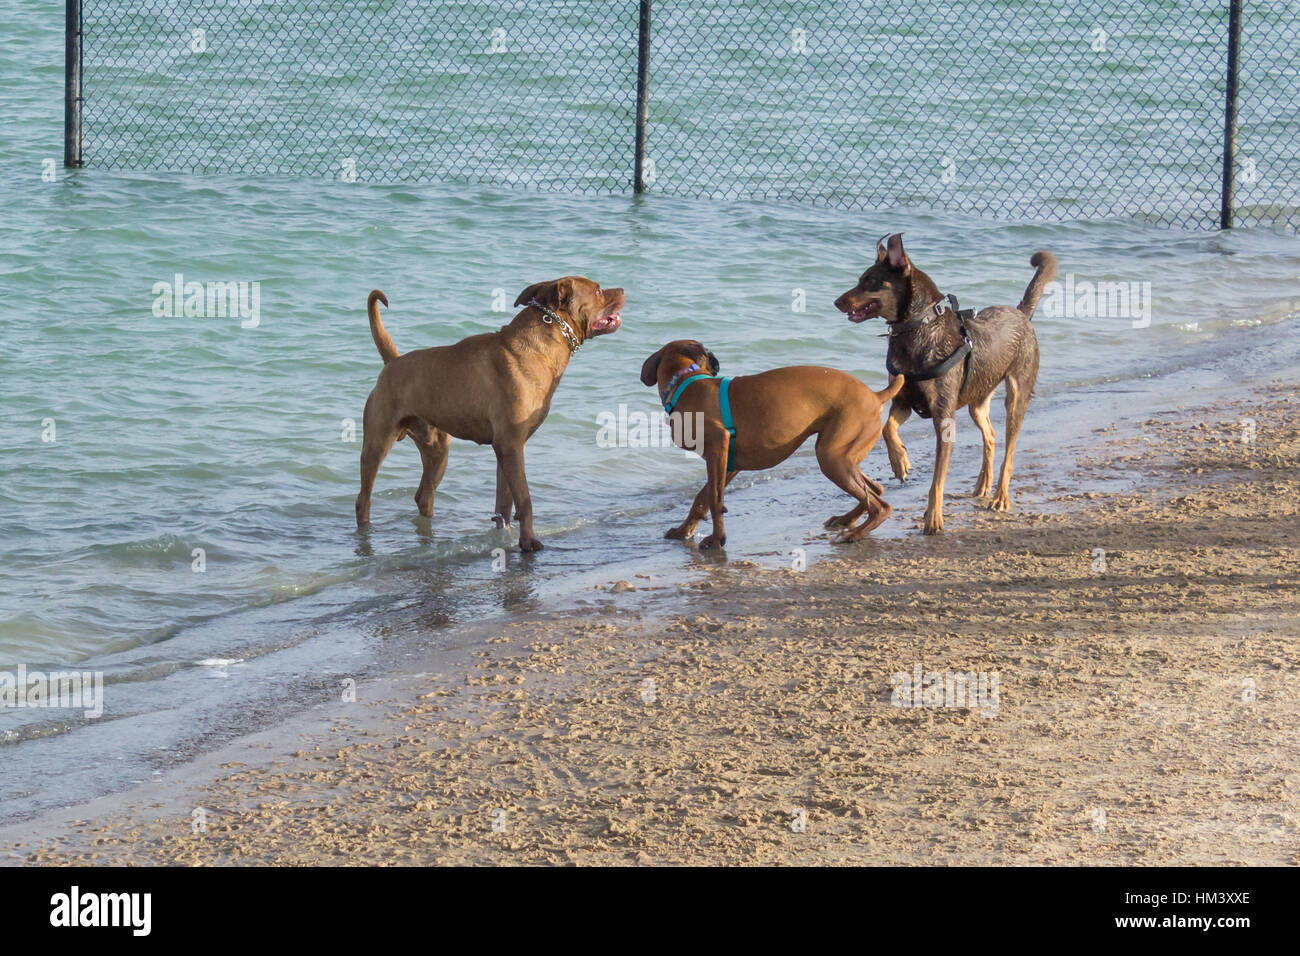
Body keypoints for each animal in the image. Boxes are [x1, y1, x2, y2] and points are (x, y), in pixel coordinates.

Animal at [353, 274, 621, 554]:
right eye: (598, 290)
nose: (624, 290)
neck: (542, 341)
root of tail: (393, 361)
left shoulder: (508, 449)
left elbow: (505, 503)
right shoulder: (510, 445)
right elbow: (524, 499)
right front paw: (529, 541)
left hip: (437, 451)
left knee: (424, 495)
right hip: (377, 444)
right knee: (363, 500)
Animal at [639, 338, 904, 548]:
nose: (716, 362)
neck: (685, 381)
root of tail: (875, 395)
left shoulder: (718, 447)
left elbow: (714, 500)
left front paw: (716, 540)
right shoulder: (727, 464)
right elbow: (702, 499)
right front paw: (683, 531)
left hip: (832, 458)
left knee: (880, 505)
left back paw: (853, 534)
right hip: (843, 456)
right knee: (875, 490)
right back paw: (845, 520)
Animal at [832, 231, 1055, 530]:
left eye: (869, 281)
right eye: (861, 279)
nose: (836, 302)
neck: (917, 329)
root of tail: (1021, 314)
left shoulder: (944, 417)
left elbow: (938, 478)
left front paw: (933, 518)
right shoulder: (903, 401)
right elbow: (888, 428)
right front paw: (900, 461)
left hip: (1017, 396)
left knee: (1009, 450)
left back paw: (1000, 497)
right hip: (977, 401)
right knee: (991, 435)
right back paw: (983, 484)